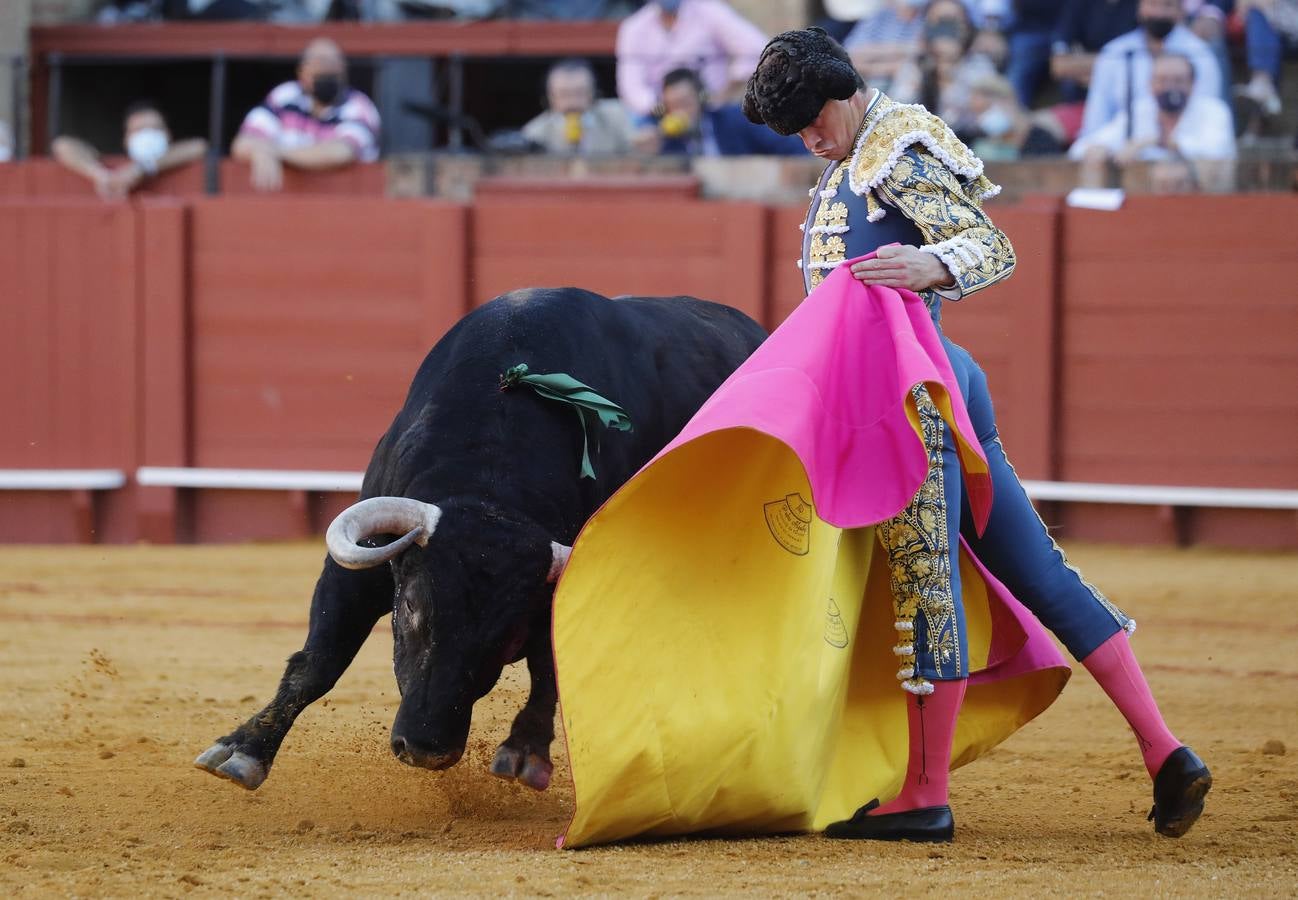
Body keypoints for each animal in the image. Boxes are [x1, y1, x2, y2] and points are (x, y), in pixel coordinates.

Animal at [192, 290, 768, 789]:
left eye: (509, 634)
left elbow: (549, 665)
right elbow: (319, 660)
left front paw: (526, 752)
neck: (489, 473)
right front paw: (243, 751)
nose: (426, 749)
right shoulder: (360, 568)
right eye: (412, 607)